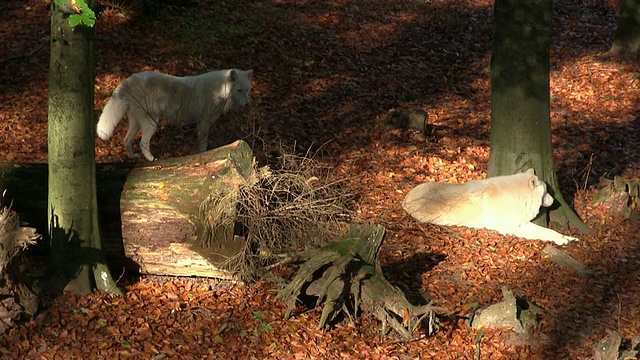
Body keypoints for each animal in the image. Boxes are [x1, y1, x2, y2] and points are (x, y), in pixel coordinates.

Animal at [97, 68, 252, 160]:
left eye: (247, 90)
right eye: (239, 90)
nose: (247, 105)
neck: (219, 90)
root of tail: (131, 78)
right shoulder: (203, 123)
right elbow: (203, 145)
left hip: (136, 123)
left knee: (127, 140)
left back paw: (132, 156)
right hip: (151, 122)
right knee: (143, 143)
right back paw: (152, 159)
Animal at [404, 169, 580, 245]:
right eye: (547, 191)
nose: (556, 202)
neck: (516, 195)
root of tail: (405, 200)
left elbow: (549, 231)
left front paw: (569, 238)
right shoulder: (513, 228)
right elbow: (544, 233)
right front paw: (561, 240)